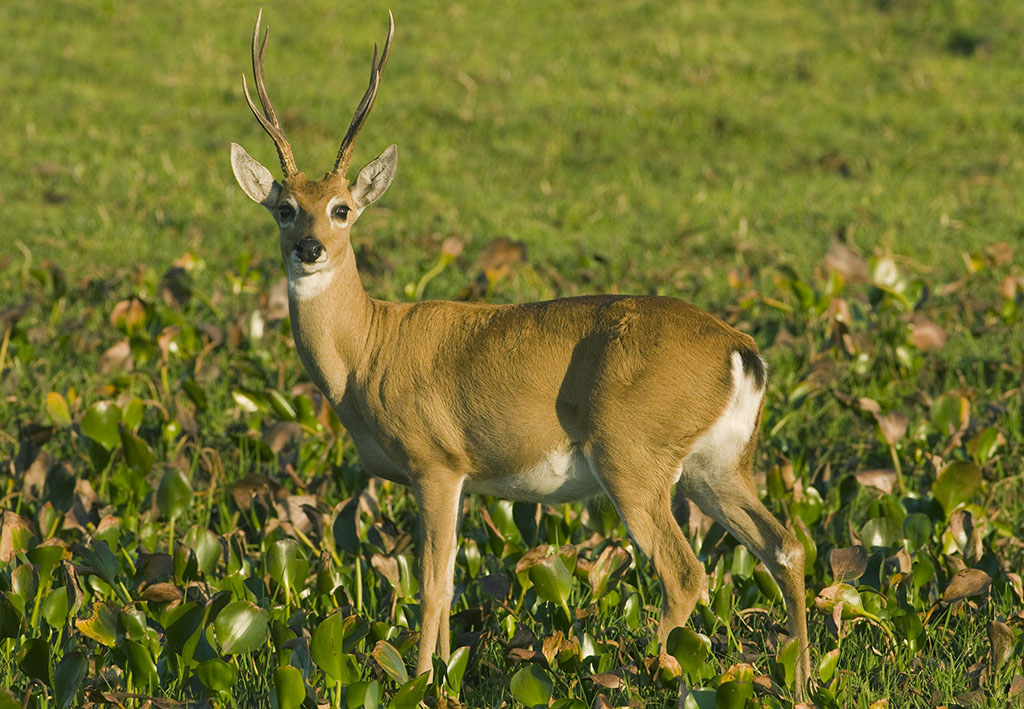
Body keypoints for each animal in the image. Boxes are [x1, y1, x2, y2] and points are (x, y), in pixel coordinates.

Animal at [230, 9, 806, 696]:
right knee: (784, 545)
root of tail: (741, 350)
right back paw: (801, 681)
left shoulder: (435, 462)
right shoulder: (457, 478)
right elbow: (452, 582)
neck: (367, 353)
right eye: (284, 209)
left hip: (631, 455)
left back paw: (638, 675)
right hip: (716, 466)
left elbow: (432, 584)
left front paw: (420, 683)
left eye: (342, 209)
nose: (310, 247)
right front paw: (447, 675)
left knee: (686, 572)